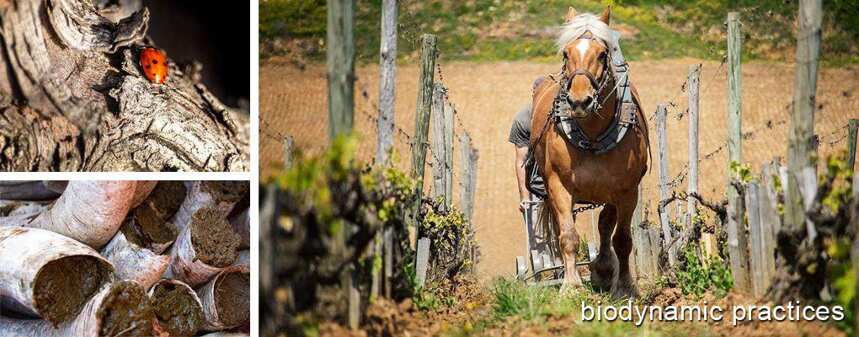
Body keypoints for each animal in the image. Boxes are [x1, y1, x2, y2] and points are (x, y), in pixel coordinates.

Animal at [532, 7, 652, 296]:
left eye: (602, 54)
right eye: (566, 53)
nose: (579, 101)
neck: (593, 136)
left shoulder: (627, 190)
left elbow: (622, 238)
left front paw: (624, 285)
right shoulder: (559, 185)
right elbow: (568, 236)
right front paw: (570, 285)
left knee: (606, 225)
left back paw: (604, 269)